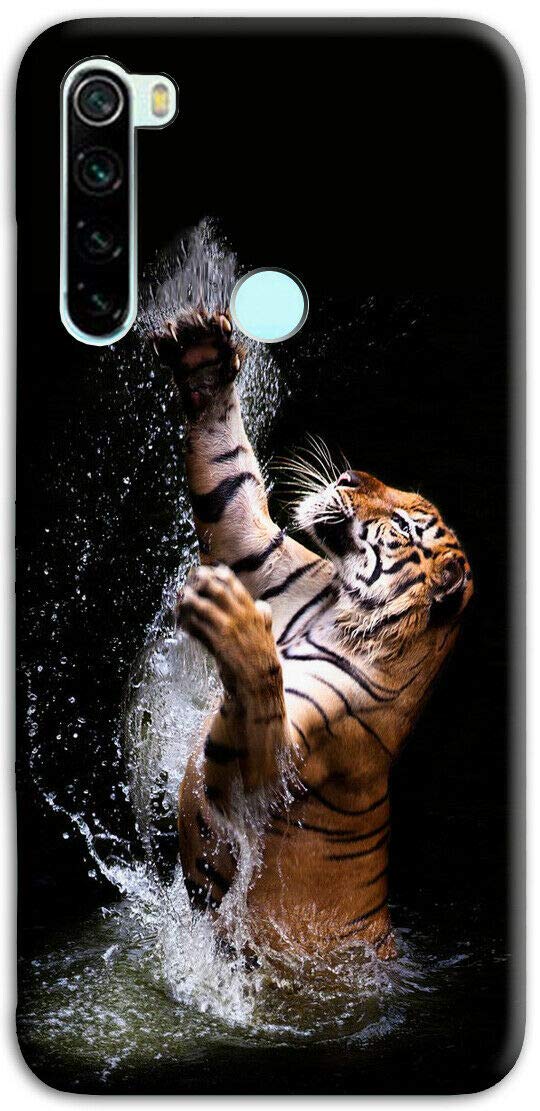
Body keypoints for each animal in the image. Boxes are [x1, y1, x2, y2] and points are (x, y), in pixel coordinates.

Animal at [152, 307, 473, 960]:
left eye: (402, 522)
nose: (348, 472)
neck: (338, 607)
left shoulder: (274, 777)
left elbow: (261, 695)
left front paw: (232, 620)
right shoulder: (264, 555)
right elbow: (230, 481)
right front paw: (202, 355)